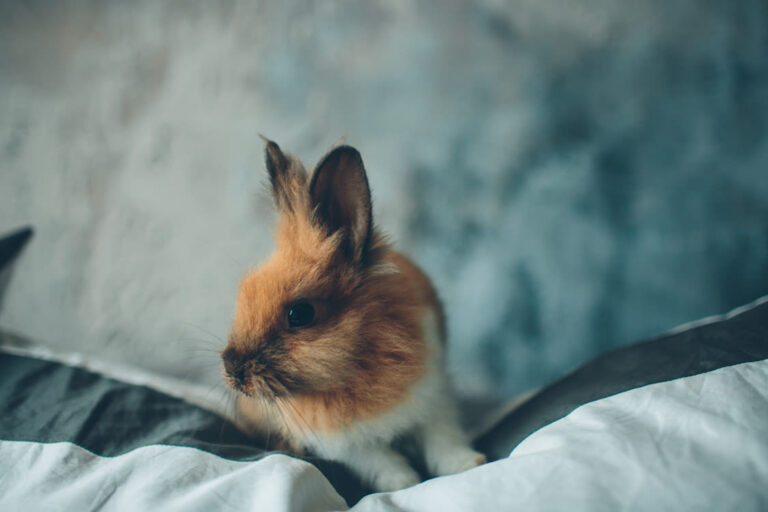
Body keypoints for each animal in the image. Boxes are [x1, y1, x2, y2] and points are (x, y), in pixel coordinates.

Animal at [221, 139, 485, 492]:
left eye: (300, 313)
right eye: (244, 293)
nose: (232, 370)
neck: (355, 368)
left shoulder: (434, 398)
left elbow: (443, 440)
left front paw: (469, 464)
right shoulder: (346, 446)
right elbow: (383, 462)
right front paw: (403, 484)